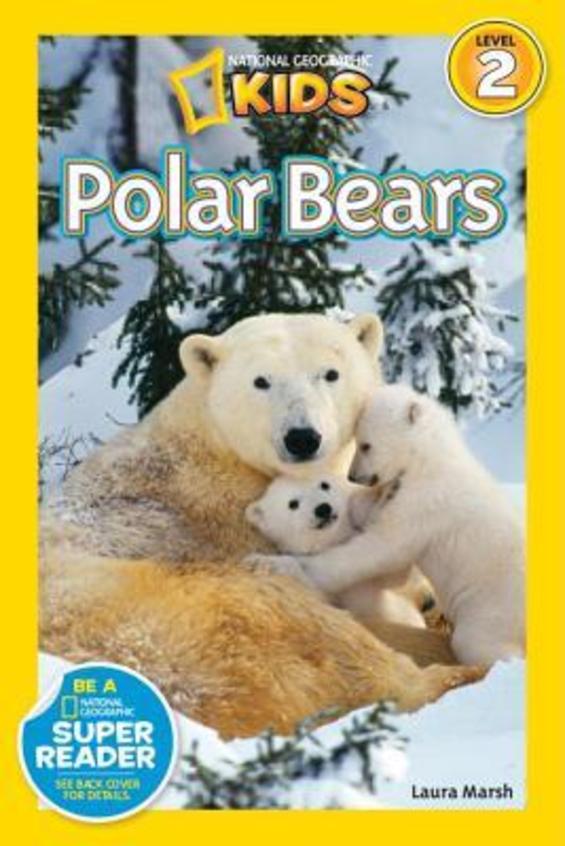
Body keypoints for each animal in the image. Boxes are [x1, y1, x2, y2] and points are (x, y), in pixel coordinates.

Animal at [245, 473, 427, 629]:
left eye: (324, 485)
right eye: (293, 504)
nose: (323, 509)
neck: (334, 540)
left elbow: (395, 577)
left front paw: (384, 492)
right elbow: (319, 594)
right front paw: (264, 562)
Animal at [270, 385, 525, 667]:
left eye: (365, 445)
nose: (353, 476)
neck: (430, 460)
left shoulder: (425, 502)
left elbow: (382, 547)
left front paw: (278, 564)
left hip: (492, 609)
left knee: (477, 642)